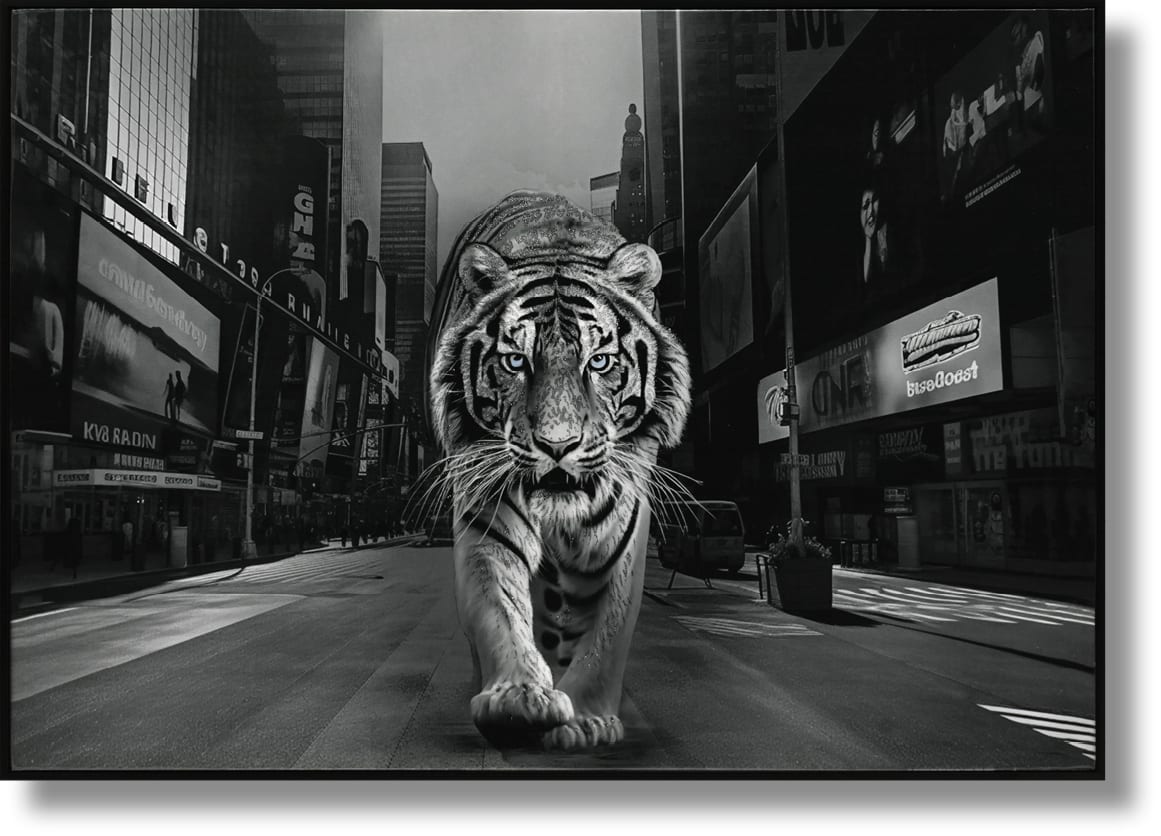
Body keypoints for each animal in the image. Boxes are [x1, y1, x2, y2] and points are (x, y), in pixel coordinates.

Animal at [422, 190, 692, 750]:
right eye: (515, 361)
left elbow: (608, 631)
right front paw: (519, 697)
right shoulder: (487, 512)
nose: (558, 445)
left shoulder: (622, 527)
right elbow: (498, 605)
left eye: (600, 362)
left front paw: (587, 718)